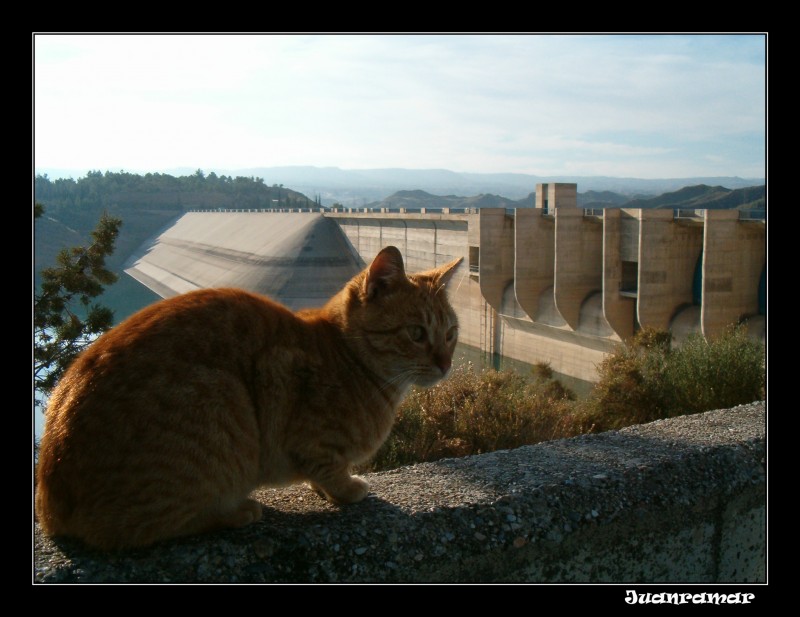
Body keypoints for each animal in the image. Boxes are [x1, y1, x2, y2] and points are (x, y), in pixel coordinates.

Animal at [36, 245, 462, 548]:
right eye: (417, 333)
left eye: (451, 333)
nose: (446, 363)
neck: (348, 359)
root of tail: (49, 502)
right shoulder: (307, 431)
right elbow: (329, 469)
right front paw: (346, 490)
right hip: (219, 403)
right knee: (137, 528)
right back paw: (238, 511)